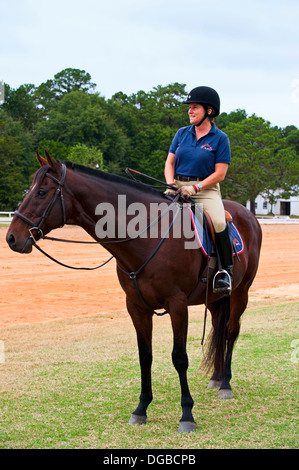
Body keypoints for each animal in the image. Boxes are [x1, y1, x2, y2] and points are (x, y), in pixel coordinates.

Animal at [5, 151, 262, 434]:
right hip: (215, 300)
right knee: (218, 328)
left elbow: (179, 358)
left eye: (41, 192)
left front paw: (186, 414)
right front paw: (141, 409)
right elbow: (145, 356)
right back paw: (216, 378)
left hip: (240, 293)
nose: (12, 238)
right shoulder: (136, 307)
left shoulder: (177, 305)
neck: (149, 234)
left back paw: (225, 383)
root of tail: (246, 213)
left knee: (230, 332)